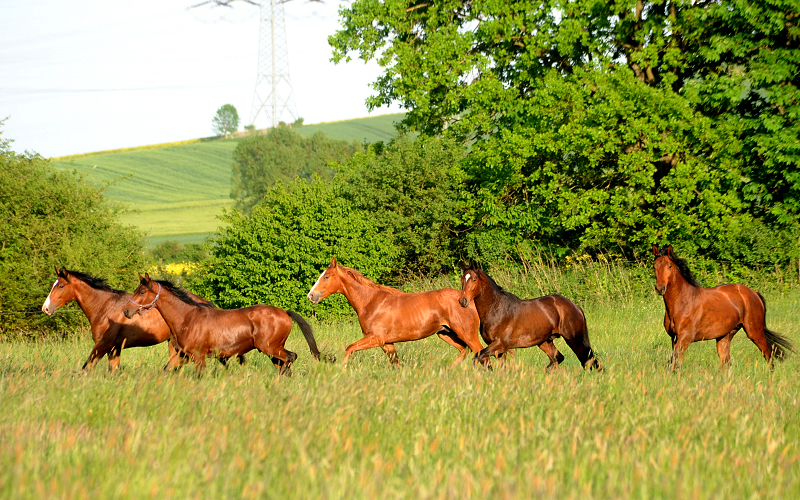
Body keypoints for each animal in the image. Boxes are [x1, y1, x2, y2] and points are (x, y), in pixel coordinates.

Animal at [38, 270, 212, 372]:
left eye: (61, 286)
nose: (45, 308)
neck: (104, 307)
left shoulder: (103, 345)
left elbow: (87, 367)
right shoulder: (114, 348)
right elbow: (113, 370)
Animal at [123, 274, 324, 376]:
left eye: (142, 292)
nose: (126, 311)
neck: (187, 317)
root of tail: (284, 312)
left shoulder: (198, 356)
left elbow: (199, 375)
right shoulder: (183, 355)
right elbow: (167, 369)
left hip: (271, 348)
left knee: (290, 358)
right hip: (272, 350)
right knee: (284, 364)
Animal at [306, 258, 488, 368]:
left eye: (327, 277)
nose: (311, 296)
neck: (371, 302)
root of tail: (467, 300)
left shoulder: (376, 338)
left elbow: (349, 348)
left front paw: (342, 370)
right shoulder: (387, 343)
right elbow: (396, 363)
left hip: (466, 333)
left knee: (482, 352)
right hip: (445, 333)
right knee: (465, 351)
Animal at [456, 264, 600, 370]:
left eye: (474, 279)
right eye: (462, 280)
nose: (462, 301)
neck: (497, 310)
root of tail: (575, 306)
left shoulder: (500, 345)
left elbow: (477, 357)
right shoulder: (498, 350)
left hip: (574, 340)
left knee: (589, 361)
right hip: (544, 341)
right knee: (558, 358)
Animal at [652, 244, 792, 370]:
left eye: (670, 266)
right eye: (655, 266)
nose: (660, 288)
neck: (683, 301)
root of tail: (754, 294)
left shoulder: (685, 338)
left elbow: (674, 362)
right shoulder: (674, 338)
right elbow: (675, 362)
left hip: (754, 332)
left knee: (768, 355)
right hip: (725, 336)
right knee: (726, 363)